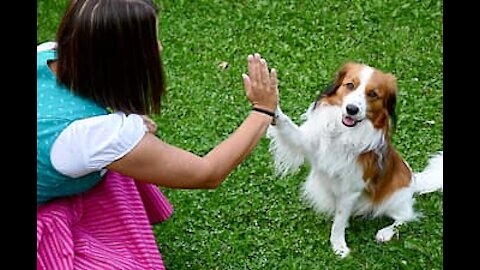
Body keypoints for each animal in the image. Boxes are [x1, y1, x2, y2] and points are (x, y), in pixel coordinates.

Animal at [266, 61, 442, 258]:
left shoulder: (350, 190)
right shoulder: (306, 142)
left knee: (406, 217)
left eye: (373, 94)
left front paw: (339, 246)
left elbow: (339, 221)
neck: (344, 133)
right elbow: (287, 126)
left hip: (394, 199)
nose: (352, 109)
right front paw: (271, 103)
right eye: (350, 85)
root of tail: (414, 181)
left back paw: (386, 232)